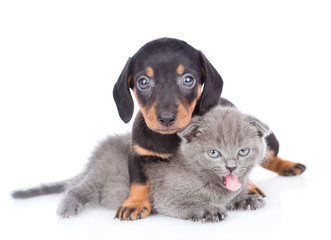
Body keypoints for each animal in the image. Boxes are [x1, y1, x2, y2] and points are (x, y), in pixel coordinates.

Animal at [12, 107, 270, 223]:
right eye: (214, 153)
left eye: (243, 151)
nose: (231, 166)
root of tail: (96, 156)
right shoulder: (167, 196)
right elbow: (188, 203)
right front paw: (209, 210)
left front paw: (245, 198)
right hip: (99, 179)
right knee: (75, 189)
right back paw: (67, 208)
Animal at [112, 37, 306, 219]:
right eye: (143, 82)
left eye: (188, 80)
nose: (166, 118)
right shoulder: (138, 154)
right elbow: (138, 181)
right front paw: (134, 204)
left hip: (271, 144)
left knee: (269, 156)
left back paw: (286, 167)